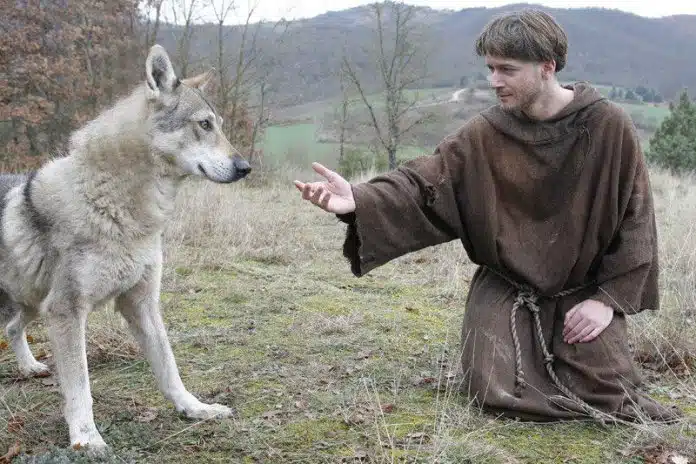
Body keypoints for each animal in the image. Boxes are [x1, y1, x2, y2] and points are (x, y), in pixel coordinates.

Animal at [0, 44, 250, 453]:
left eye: (221, 125)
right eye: (204, 125)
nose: (246, 167)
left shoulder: (141, 303)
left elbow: (170, 368)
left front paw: (195, 409)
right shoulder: (67, 311)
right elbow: (80, 387)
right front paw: (86, 439)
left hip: (32, 304)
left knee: (11, 327)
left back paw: (29, 367)